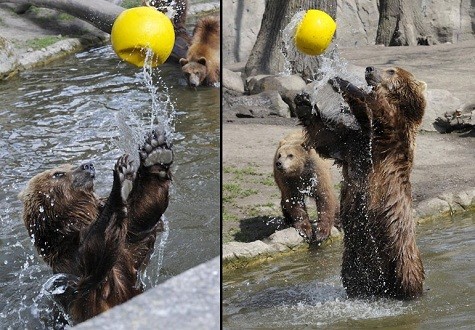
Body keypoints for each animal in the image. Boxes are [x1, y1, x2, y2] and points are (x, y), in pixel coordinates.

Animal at [19, 127, 175, 324]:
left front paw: (155, 153)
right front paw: (119, 187)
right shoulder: (74, 269)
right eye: (58, 173)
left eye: (70, 165)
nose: (87, 165)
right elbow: (96, 256)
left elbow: (141, 215)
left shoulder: (128, 247)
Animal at [298, 66, 428, 300]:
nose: (369, 68)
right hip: (354, 262)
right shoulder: (352, 146)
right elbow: (326, 138)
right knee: (354, 280)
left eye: (391, 70)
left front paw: (343, 81)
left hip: (401, 252)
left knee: (408, 277)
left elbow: (379, 109)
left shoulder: (391, 138)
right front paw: (303, 102)